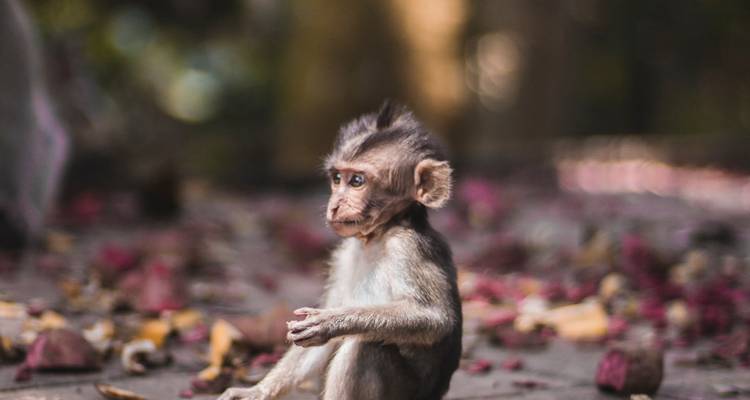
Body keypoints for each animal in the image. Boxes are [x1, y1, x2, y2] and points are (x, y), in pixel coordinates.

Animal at [219, 101, 462, 400]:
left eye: (357, 181)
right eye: (336, 178)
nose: (334, 205)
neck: (378, 235)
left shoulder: (408, 247)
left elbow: (436, 319)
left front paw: (332, 322)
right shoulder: (343, 255)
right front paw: (257, 391)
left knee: (364, 348)